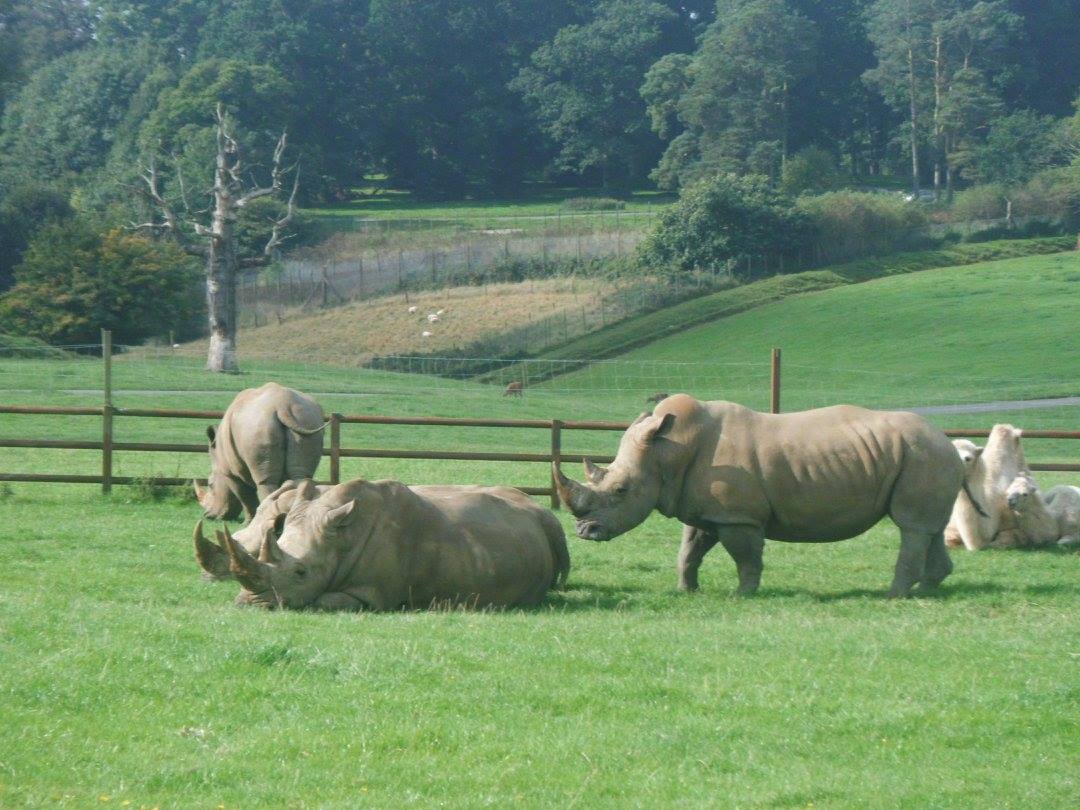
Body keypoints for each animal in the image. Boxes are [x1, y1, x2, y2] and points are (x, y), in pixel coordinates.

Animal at [194, 383, 326, 521]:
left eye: (210, 484)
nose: (207, 515)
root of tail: (283, 405)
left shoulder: (230, 472)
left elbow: (245, 496)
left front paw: (248, 522)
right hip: (306, 419)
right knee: (301, 477)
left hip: (259, 426)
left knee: (265, 483)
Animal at [553, 394, 964, 598]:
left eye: (621, 491)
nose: (584, 532)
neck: (668, 451)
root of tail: (949, 440)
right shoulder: (706, 512)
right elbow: (690, 550)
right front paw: (687, 591)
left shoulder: (738, 516)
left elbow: (745, 556)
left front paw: (743, 595)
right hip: (923, 455)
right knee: (928, 526)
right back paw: (926, 590)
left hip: (922, 454)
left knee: (911, 526)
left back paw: (894, 595)